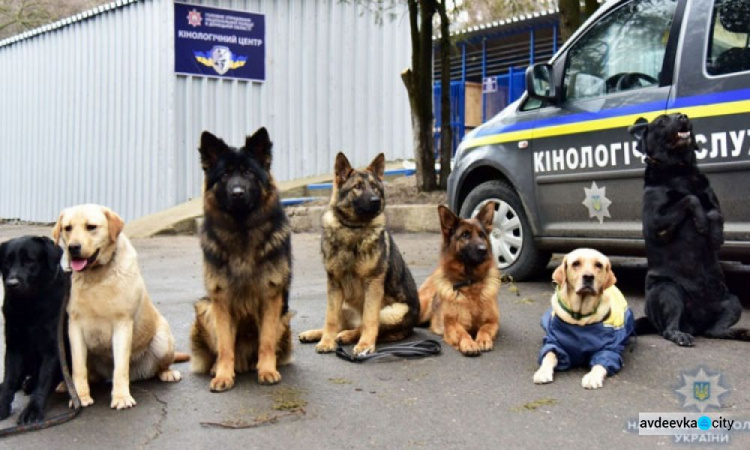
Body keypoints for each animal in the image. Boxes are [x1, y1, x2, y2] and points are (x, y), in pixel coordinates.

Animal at [0, 237, 69, 424]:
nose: (12, 284)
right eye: (6, 262)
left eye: (30, 261)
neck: (29, 306)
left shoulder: (53, 349)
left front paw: (33, 410)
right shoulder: (14, 345)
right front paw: (2, 404)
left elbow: (44, 381)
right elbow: (9, 379)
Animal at [632, 114, 748, 346]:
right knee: (668, 329)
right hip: (669, 290)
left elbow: (713, 213)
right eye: (662, 121)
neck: (680, 170)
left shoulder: (714, 203)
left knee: (715, 331)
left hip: (732, 300)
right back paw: (680, 335)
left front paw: (714, 234)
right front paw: (701, 222)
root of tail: (698, 321)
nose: (682, 116)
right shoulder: (656, 223)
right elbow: (689, 198)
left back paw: (739, 332)